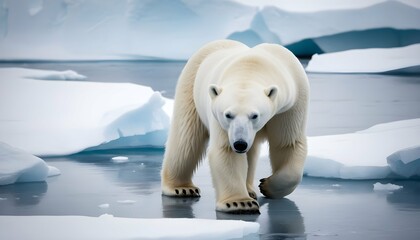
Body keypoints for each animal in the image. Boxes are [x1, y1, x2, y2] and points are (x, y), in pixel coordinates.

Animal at [161, 39, 308, 214]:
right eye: (228, 115)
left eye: (254, 115)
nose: (240, 144)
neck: (251, 67)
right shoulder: (218, 115)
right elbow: (226, 151)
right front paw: (240, 203)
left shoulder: (290, 104)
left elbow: (287, 144)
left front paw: (266, 185)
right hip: (190, 85)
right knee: (186, 139)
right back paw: (181, 188)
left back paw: (250, 188)